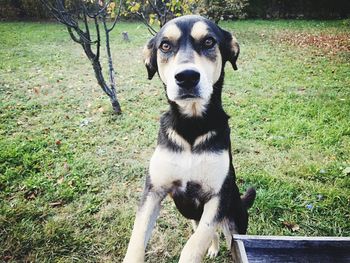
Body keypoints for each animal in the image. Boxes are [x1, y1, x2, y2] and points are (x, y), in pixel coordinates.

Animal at [123, 14, 254, 263]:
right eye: (165, 45)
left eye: (209, 42)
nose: (187, 77)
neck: (191, 127)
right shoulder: (153, 191)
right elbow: (136, 239)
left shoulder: (217, 197)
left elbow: (194, 245)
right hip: (195, 216)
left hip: (234, 223)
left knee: (223, 235)